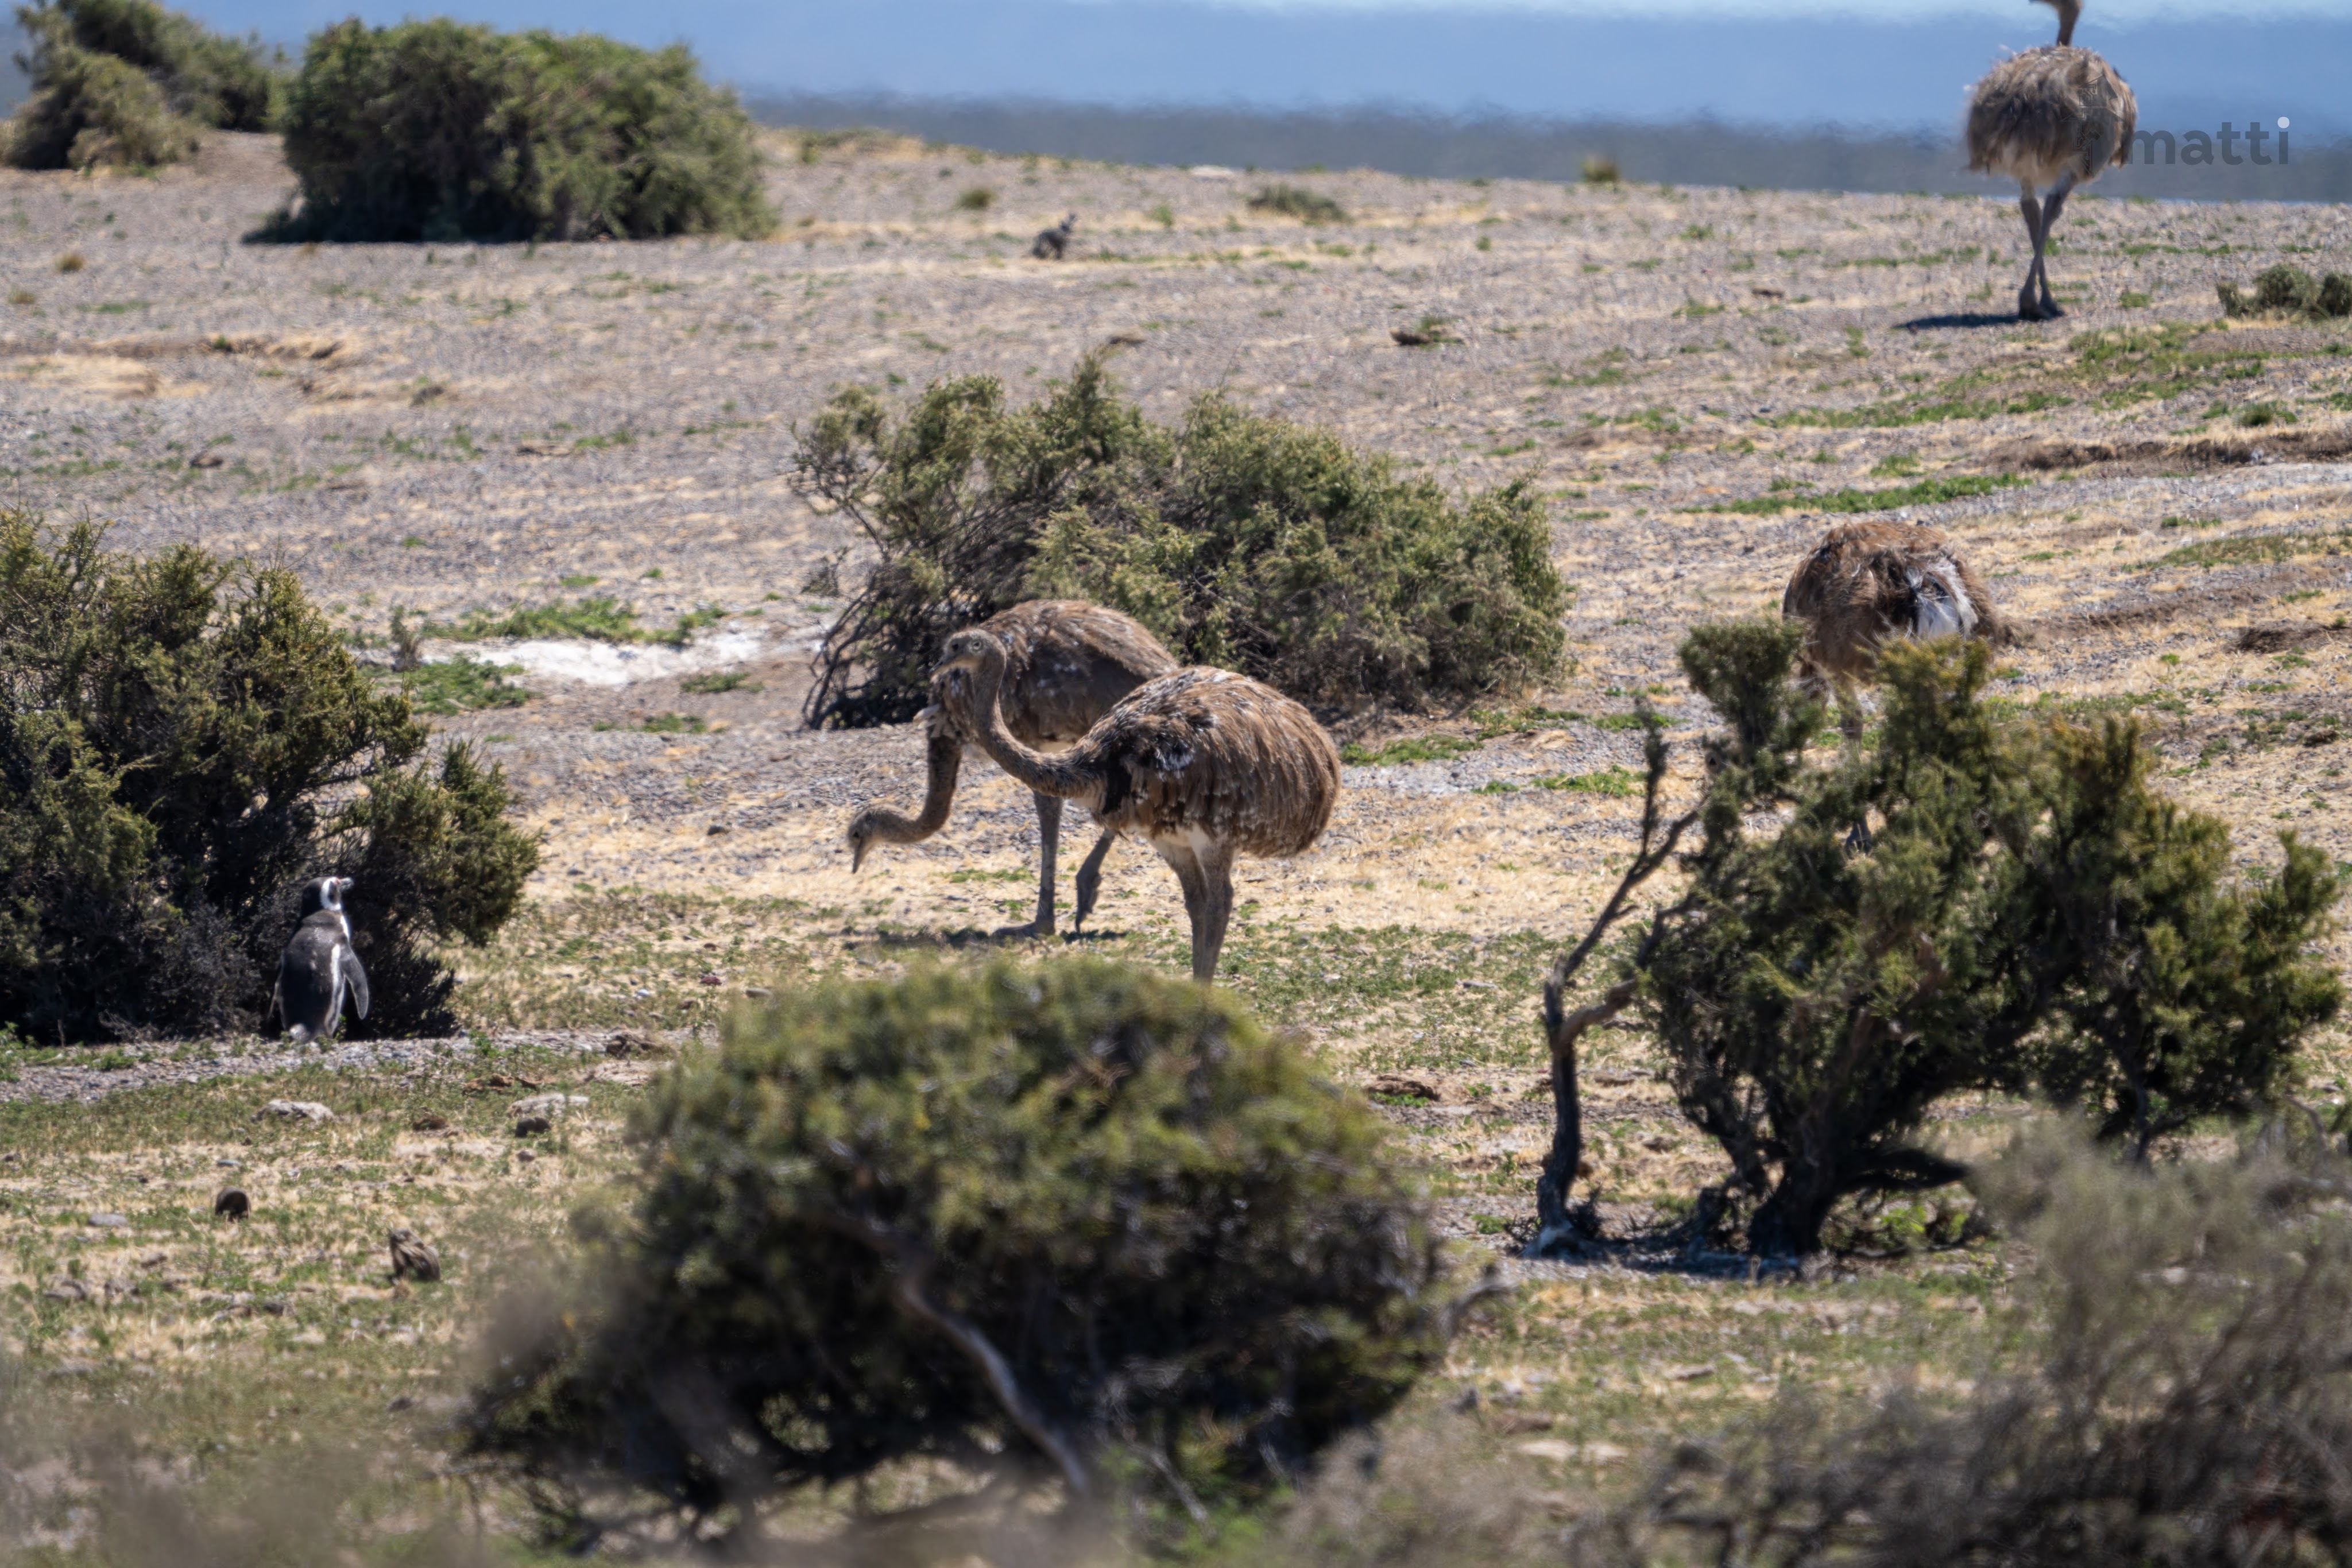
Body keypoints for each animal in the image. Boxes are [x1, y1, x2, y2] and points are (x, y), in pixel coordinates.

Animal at [848, 601, 1176, 936]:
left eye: (856, 834)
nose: (855, 865)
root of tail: (1161, 670)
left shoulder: (1031, 742)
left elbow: (1048, 806)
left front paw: (1041, 923)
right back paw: (1086, 891)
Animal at [936, 630, 1340, 981]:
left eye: (957, 645)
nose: (937, 667)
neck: (1099, 764)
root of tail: (1318, 757)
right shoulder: (1167, 839)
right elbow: (1194, 902)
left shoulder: (1208, 837)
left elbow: (1214, 904)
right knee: (1204, 901)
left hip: (1222, 830)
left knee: (1222, 900)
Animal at [1966, 0, 2136, 321]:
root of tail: (2026, 102)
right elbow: (2052, 210)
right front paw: (2042, 301)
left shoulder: (2026, 171)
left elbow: (2032, 211)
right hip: (2077, 160)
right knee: (2051, 207)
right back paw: (2036, 302)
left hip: (2025, 164)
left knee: (2030, 208)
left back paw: (2033, 301)